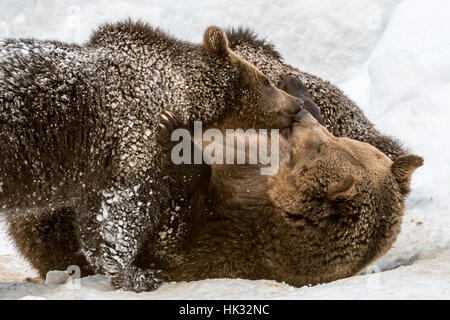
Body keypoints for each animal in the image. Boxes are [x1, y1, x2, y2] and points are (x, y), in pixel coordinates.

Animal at [0, 21, 302, 292]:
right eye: (265, 81)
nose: (297, 103)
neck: (183, 97)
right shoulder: (136, 134)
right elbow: (128, 209)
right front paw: (137, 274)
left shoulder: (105, 165)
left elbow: (95, 218)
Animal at [153, 110, 424, 288]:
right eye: (339, 138)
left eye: (321, 146)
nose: (301, 115)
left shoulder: (220, 233)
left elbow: (179, 218)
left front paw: (172, 130)